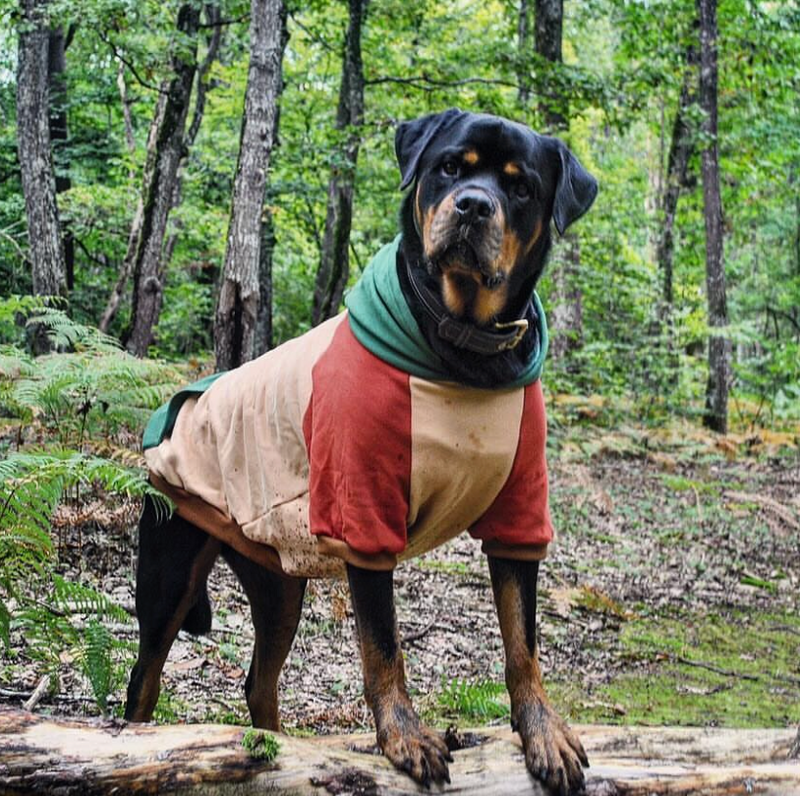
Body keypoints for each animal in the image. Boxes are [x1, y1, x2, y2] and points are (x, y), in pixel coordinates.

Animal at [125, 109, 596, 792]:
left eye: (521, 187)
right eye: (449, 167)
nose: (473, 205)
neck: (463, 351)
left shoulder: (520, 512)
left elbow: (523, 643)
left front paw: (543, 731)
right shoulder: (364, 515)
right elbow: (384, 644)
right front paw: (403, 737)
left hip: (278, 582)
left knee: (258, 681)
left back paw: (274, 754)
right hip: (169, 570)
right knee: (145, 678)